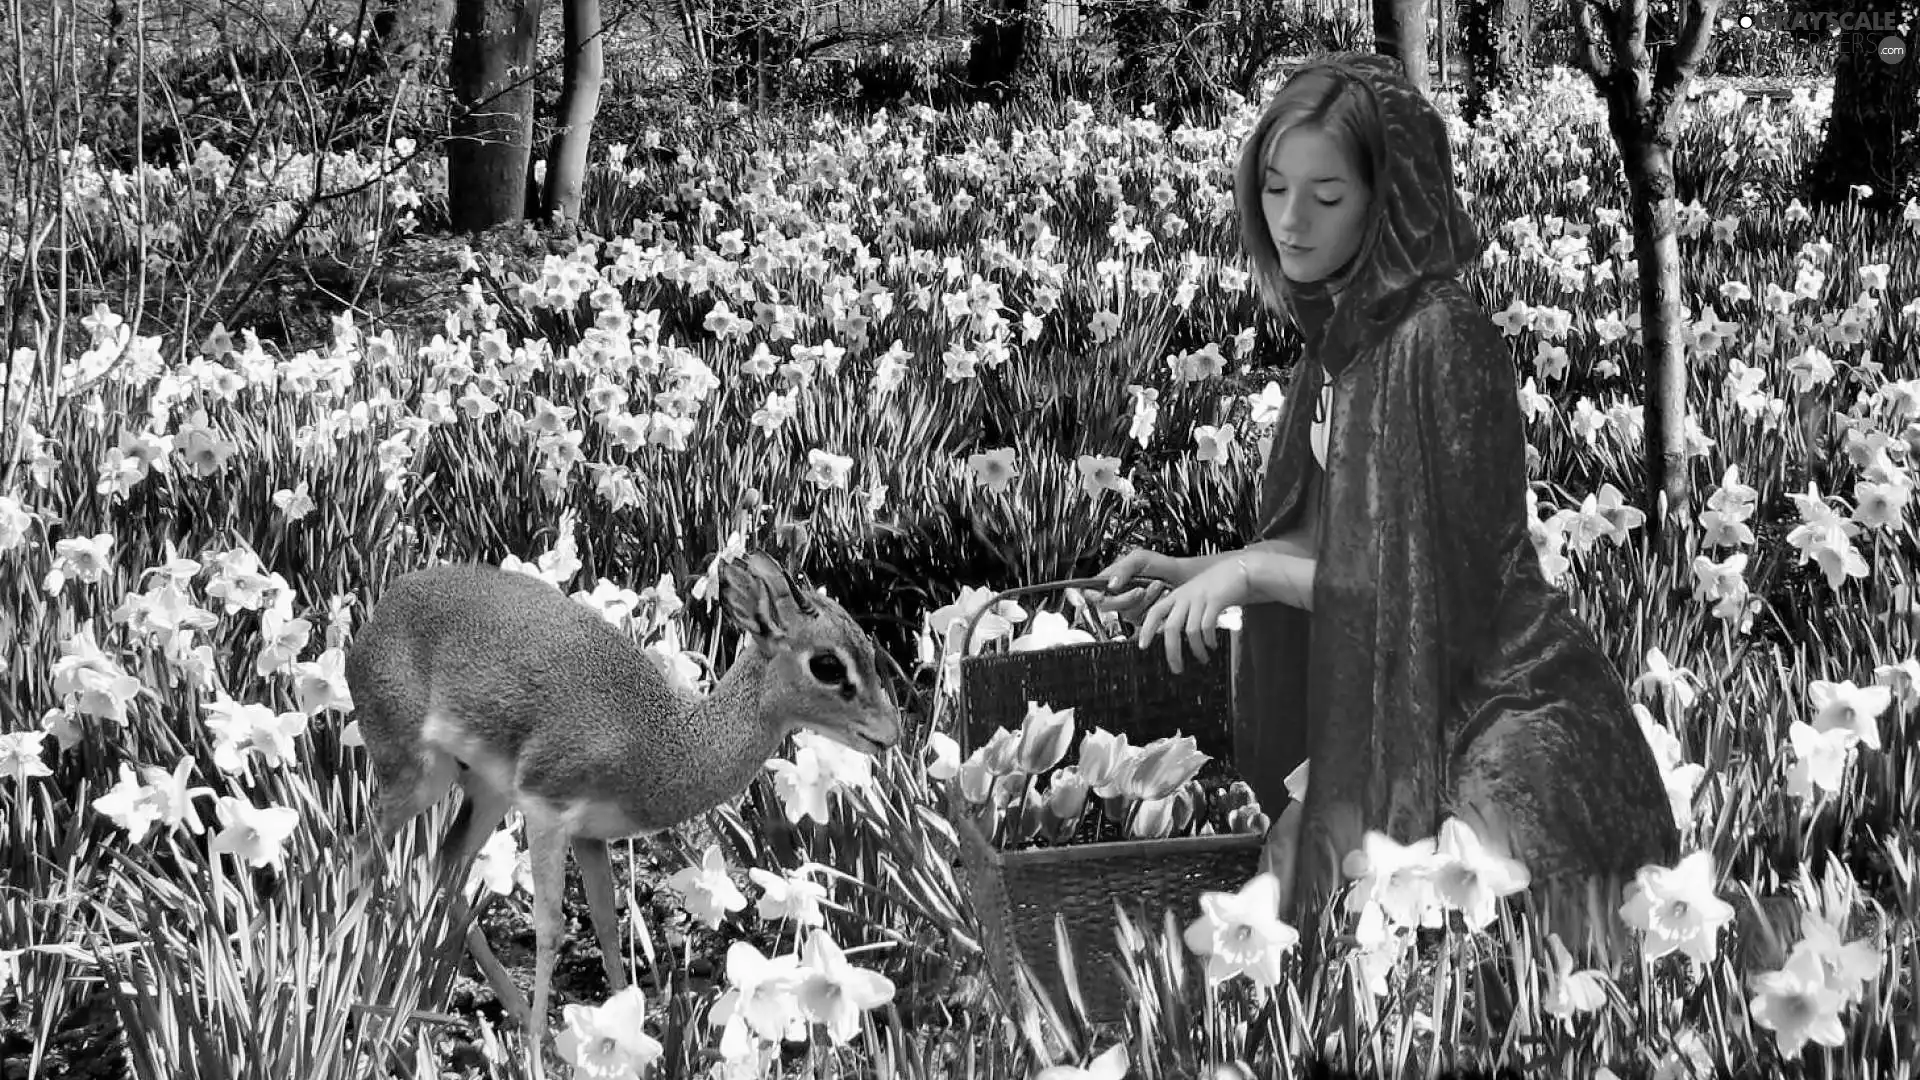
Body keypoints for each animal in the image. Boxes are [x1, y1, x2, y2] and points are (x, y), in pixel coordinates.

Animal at [343, 553, 898, 1068]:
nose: (890, 732)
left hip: (485, 793)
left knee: (446, 862)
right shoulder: (547, 813)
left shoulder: (592, 835)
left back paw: (511, 1013)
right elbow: (550, 926)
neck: (658, 739)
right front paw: (537, 1056)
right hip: (417, 779)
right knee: (362, 853)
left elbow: (609, 925)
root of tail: (387, 604)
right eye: (827, 664)